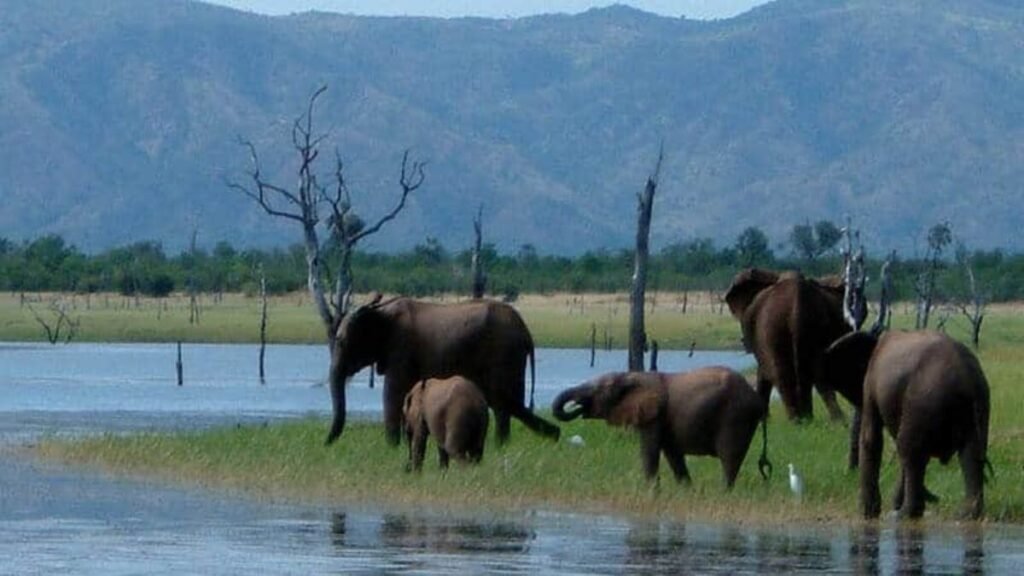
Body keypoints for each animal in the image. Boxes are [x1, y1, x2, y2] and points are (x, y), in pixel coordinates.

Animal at [325, 293, 561, 446]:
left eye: (341, 342)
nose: (326, 444)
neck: (379, 310)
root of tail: (526, 332)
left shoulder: (401, 349)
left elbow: (393, 394)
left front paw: (391, 449)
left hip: (504, 353)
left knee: (502, 404)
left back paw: (504, 446)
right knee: (506, 403)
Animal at [552, 366, 770, 483]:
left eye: (599, 391)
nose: (577, 406)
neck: (632, 376)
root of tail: (757, 400)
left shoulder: (654, 416)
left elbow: (649, 453)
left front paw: (651, 494)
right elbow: (673, 456)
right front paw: (687, 490)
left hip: (736, 416)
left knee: (729, 459)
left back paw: (724, 492)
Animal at [729, 266, 847, 420]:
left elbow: (763, 372)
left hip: (773, 326)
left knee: (787, 375)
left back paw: (799, 420)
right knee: (813, 373)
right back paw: (814, 420)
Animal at [823, 330, 991, 518]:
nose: (936, 498)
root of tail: (967, 377)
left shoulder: (871, 384)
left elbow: (871, 438)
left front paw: (867, 514)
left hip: (923, 400)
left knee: (909, 449)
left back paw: (903, 514)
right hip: (975, 404)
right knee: (971, 454)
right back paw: (966, 515)